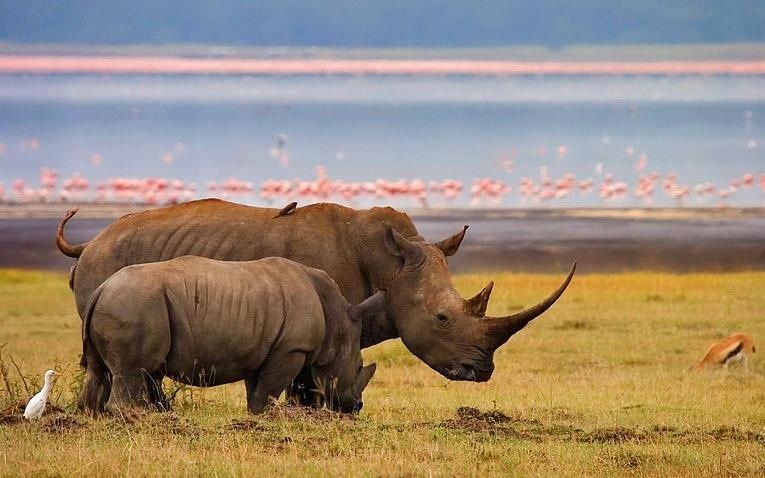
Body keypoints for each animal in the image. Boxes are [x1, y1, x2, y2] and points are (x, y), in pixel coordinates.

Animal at [79, 256, 382, 414]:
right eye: (357, 367)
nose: (356, 407)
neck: (338, 318)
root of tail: (101, 288)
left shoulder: (262, 349)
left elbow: (256, 390)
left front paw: (253, 420)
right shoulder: (291, 348)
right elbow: (269, 390)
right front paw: (264, 418)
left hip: (122, 303)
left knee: (100, 371)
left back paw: (91, 416)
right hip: (134, 304)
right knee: (132, 372)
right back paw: (134, 418)